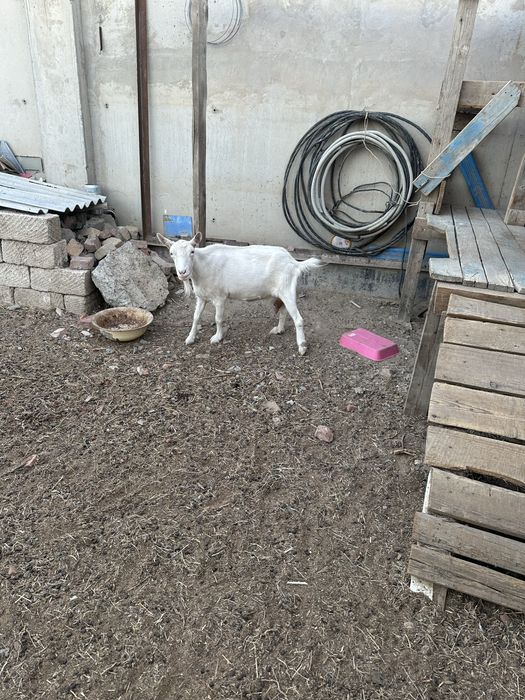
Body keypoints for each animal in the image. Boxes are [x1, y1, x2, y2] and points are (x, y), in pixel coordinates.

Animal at [157, 233, 323, 355]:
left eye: (192, 252)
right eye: (171, 253)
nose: (182, 272)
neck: (202, 265)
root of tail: (294, 262)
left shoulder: (220, 297)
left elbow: (218, 318)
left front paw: (217, 337)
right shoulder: (201, 297)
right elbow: (196, 317)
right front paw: (190, 338)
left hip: (287, 289)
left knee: (298, 319)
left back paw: (302, 346)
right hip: (278, 292)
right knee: (282, 310)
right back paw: (279, 330)